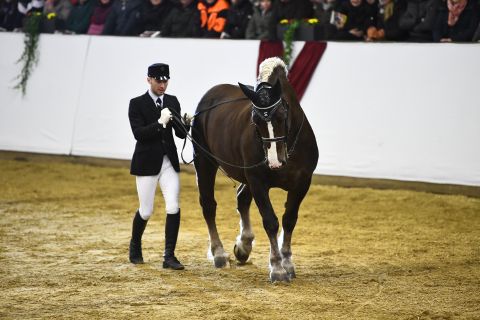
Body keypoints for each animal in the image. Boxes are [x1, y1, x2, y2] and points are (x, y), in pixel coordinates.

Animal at [191, 57, 318, 282]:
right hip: (204, 162)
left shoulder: (302, 182)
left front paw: (287, 262)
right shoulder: (257, 181)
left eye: (282, 115)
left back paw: (244, 246)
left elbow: (289, 220)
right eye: (255, 119)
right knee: (208, 205)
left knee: (241, 198)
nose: (274, 162)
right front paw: (277, 268)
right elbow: (270, 221)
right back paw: (219, 253)